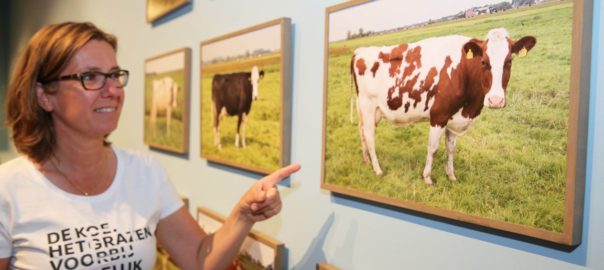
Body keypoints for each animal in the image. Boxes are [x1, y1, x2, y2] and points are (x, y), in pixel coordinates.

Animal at [352, 28, 536, 184]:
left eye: (509, 61)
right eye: (483, 62)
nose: (495, 100)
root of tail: (359, 51)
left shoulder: (454, 118)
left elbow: (451, 148)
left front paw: (451, 175)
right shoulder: (438, 116)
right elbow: (432, 148)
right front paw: (427, 178)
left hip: (371, 111)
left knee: (361, 131)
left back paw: (366, 160)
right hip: (368, 106)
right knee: (369, 136)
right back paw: (377, 169)